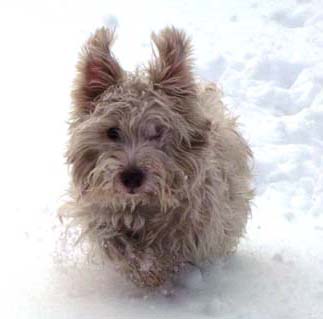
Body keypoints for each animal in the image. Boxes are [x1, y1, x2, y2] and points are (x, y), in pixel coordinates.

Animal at [62, 26, 256, 288]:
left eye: (158, 131)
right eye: (112, 131)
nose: (131, 177)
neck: (142, 207)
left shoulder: (203, 216)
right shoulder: (98, 213)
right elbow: (114, 242)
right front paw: (144, 266)